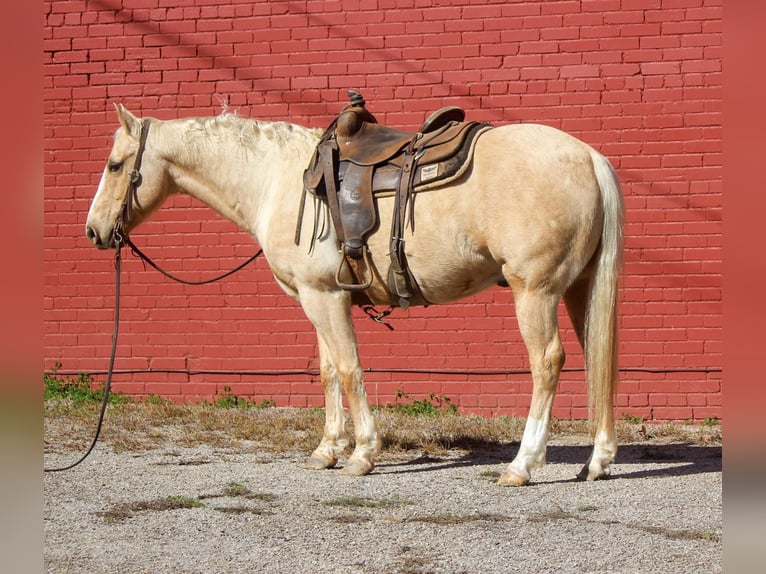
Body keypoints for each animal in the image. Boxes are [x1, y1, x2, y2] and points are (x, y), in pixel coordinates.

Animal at [85, 104, 624, 486]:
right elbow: (327, 372)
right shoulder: (320, 298)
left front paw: (362, 454)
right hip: (578, 289)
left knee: (547, 362)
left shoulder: (323, 296)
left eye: (114, 165)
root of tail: (589, 157)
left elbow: (348, 369)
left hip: (535, 292)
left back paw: (522, 464)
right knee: (597, 357)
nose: (94, 230)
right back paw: (597, 460)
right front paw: (327, 450)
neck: (276, 179)